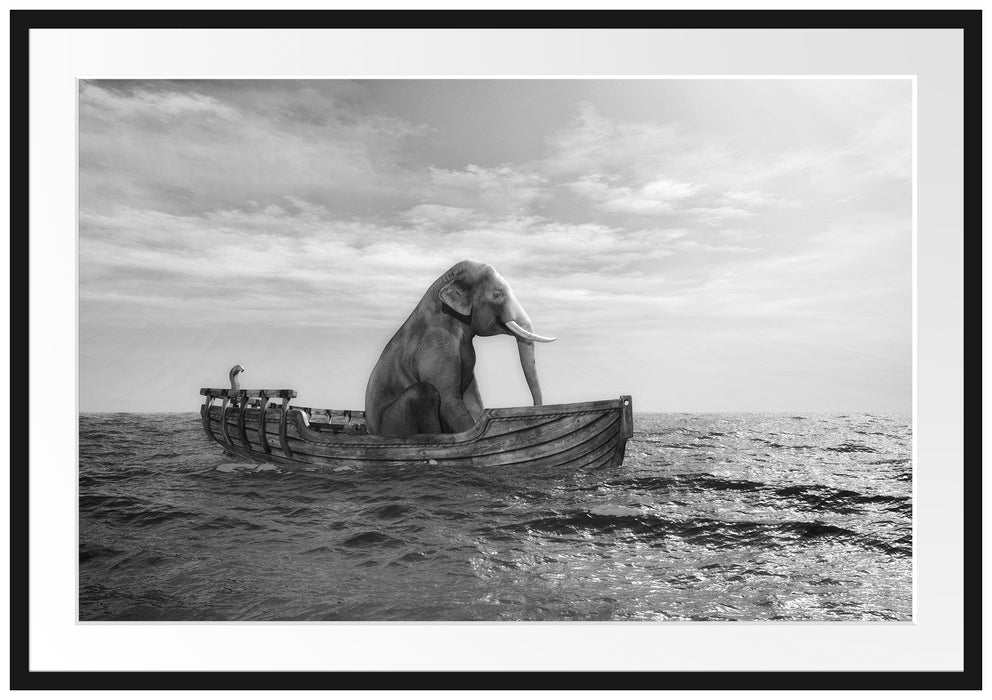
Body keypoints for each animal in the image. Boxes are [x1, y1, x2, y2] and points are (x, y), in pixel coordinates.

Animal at [364, 260, 555, 436]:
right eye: (497, 295)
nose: (535, 408)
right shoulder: (436, 346)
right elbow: (449, 400)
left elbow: (472, 397)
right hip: (393, 422)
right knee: (423, 391)